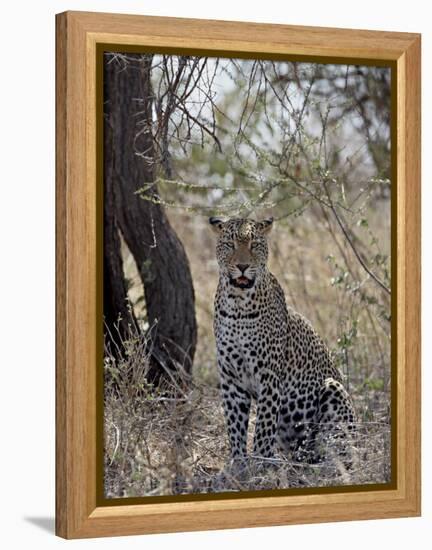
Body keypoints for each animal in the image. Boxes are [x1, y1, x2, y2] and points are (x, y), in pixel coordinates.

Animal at [211, 218, 356, 464]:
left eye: (254, 245)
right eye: (230, 244)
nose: (242, 266)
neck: (238, 304)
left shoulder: (268, 375)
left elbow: (263, 425)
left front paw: (261, 463)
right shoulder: (230, 377)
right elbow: (235, 424)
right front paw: (238, 464)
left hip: (333, 389)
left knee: (338, 447)